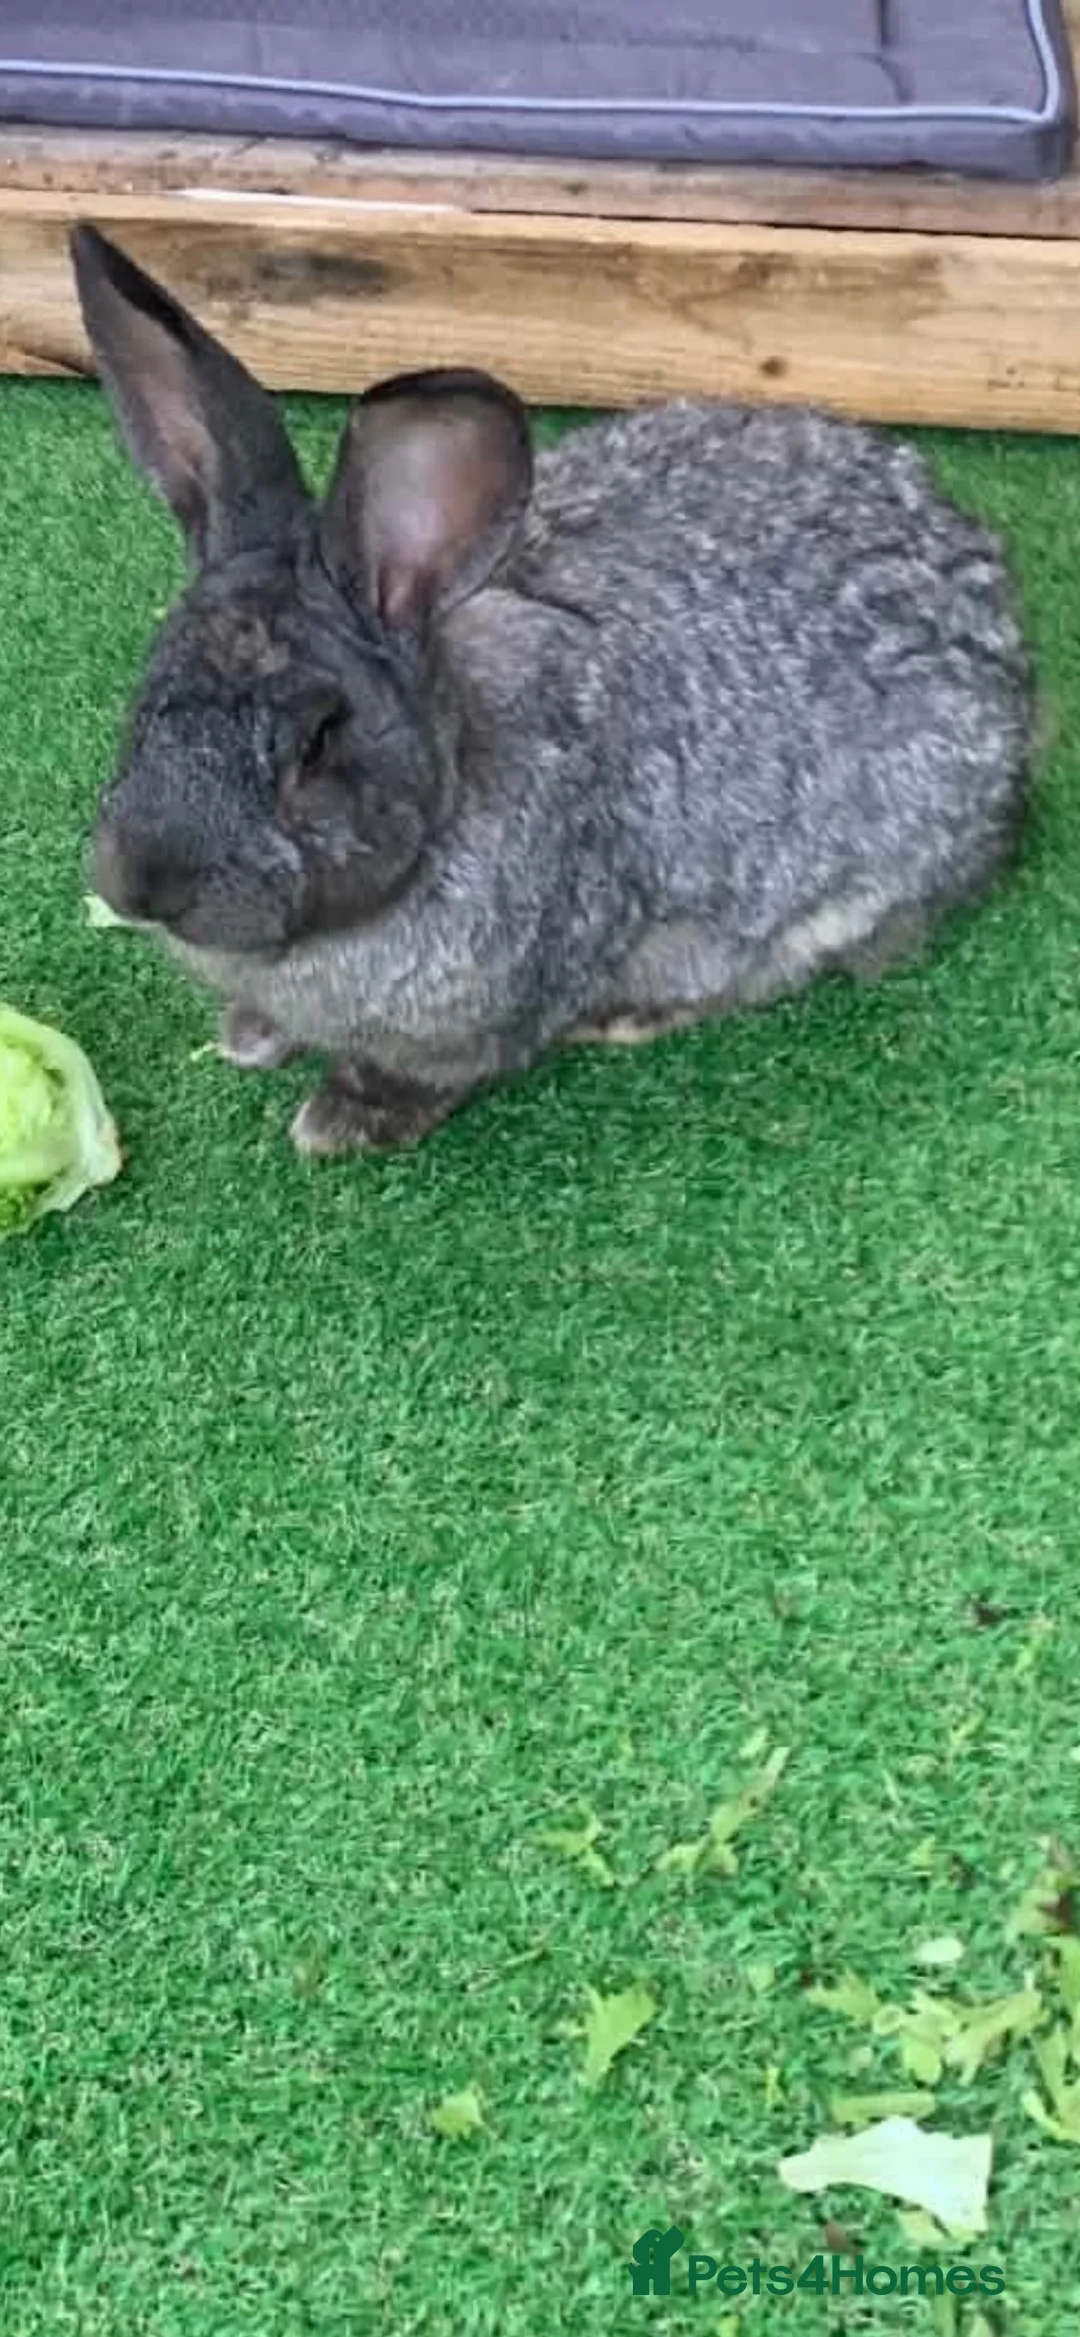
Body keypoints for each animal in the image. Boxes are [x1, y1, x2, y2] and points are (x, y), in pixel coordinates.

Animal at [72, 223, 1032, 1157]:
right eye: (150, 687)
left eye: (318, 741)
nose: (140, 885)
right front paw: (250, 1035)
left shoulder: (484, 1014)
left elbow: (426, 1075)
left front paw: (338, 1122)